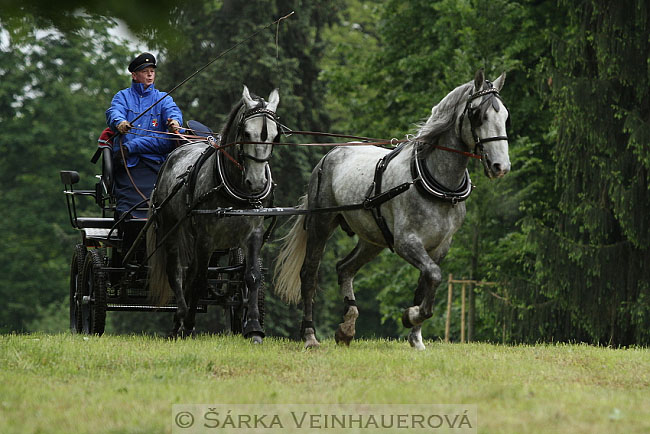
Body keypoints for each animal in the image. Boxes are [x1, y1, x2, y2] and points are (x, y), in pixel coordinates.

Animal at [147, 85, 278, 342]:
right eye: (246, 133)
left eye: (275, 136)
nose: (257, 183)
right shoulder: (206, 236)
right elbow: (199, 279)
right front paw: (188, 325)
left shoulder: (253, 232)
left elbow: (252, 276)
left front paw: (254, 327)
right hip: (172, 228)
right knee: (177, 272)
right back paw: (180, 318)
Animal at [270, 71, 508, 350]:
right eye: (478, 114)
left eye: (505, 116)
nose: (500, 166)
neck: (432, 182)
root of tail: (330, 154)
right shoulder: (406, 242)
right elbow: (434, 276)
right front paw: (411, 316)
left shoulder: (439, 247)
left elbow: (426, 282)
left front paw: (416, 337)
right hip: (321, 224)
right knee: (308, 275)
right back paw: (310, 336)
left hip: (373, 239)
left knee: (345, 268)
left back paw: (347, 328)